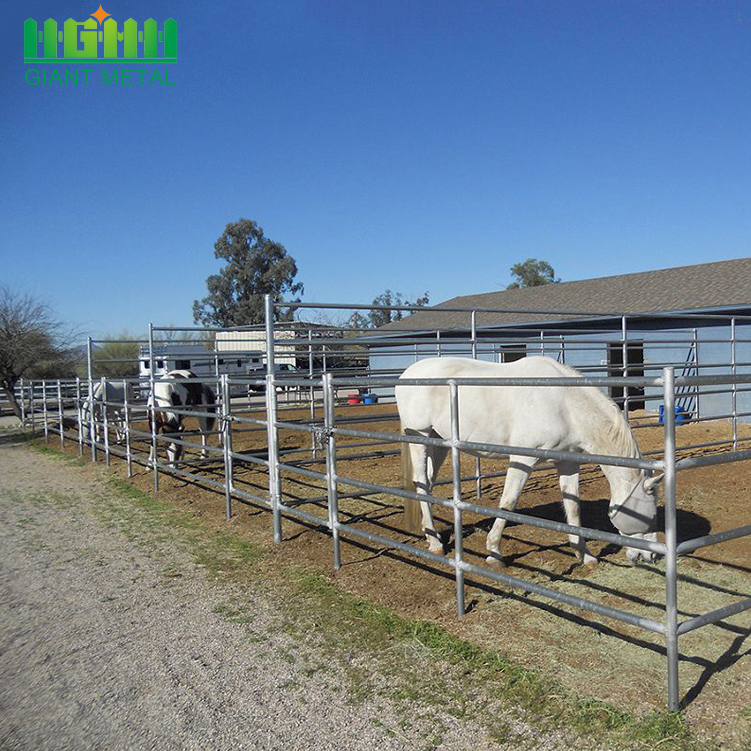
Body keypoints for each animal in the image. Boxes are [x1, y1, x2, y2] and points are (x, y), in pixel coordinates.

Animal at [396, 356, 660, 564]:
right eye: (651, 514)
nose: (652, 556)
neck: (565, 405)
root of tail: (406, 375)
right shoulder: (523, 458)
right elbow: (509, 502)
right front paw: (494, 552)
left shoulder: (568, 462)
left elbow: (573, 507)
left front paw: (585, 556)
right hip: (420, 436)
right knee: (421, 483)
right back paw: (434, 543)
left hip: (438, 441)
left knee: (429, 484)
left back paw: (430, 532)